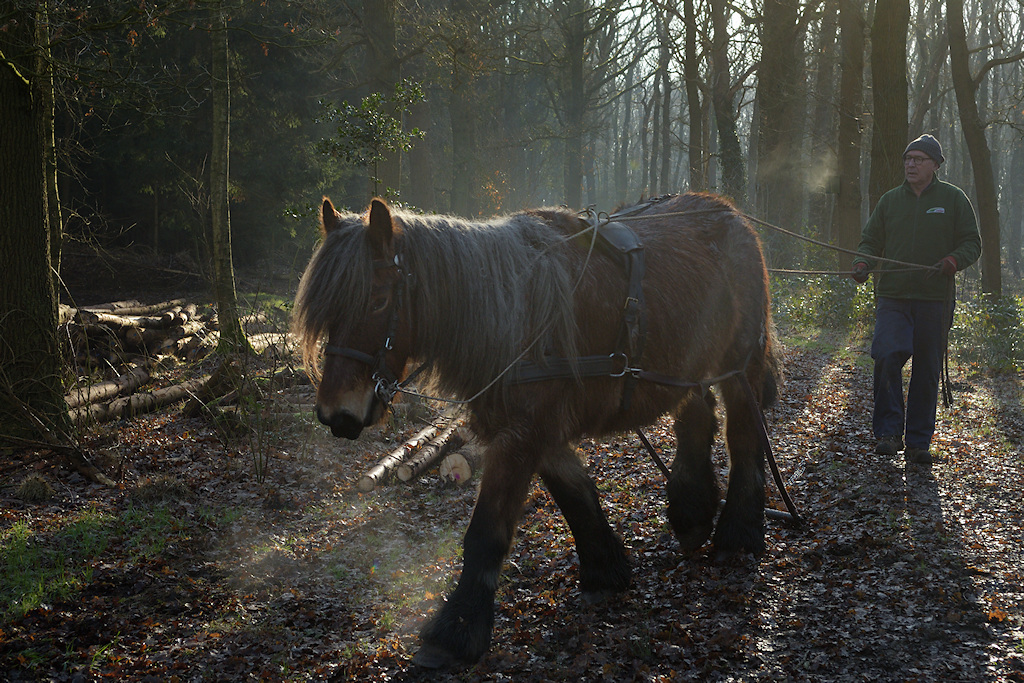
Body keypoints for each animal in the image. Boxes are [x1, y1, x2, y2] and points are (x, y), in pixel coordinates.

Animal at [292, 193, 782, 668]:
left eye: (377, 300)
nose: (336, 415)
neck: (514, 317)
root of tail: (731, 213)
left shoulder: (522, 434)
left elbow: (486, 532)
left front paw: (457, 633)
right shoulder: (533, 429)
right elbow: (575, 492)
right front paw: (606, 571)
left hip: (740, 366)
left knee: (743, 435)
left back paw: (738, 534)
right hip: (684, 367)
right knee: (697, 418)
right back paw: (692, 512)